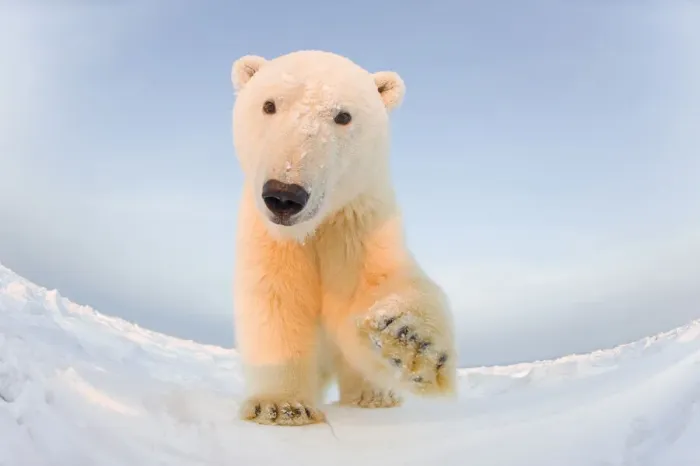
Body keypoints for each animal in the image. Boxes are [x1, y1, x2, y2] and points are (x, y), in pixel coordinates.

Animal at [230, 50, 457, 426]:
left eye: (343, 116)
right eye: (269, 105)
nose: (284, 195)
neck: (315, 228)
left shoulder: (358, 221)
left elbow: (368, 288)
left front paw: (409, 340)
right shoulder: (270, 237)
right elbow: (277, 301)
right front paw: (281, 406)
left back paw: (374, 396)